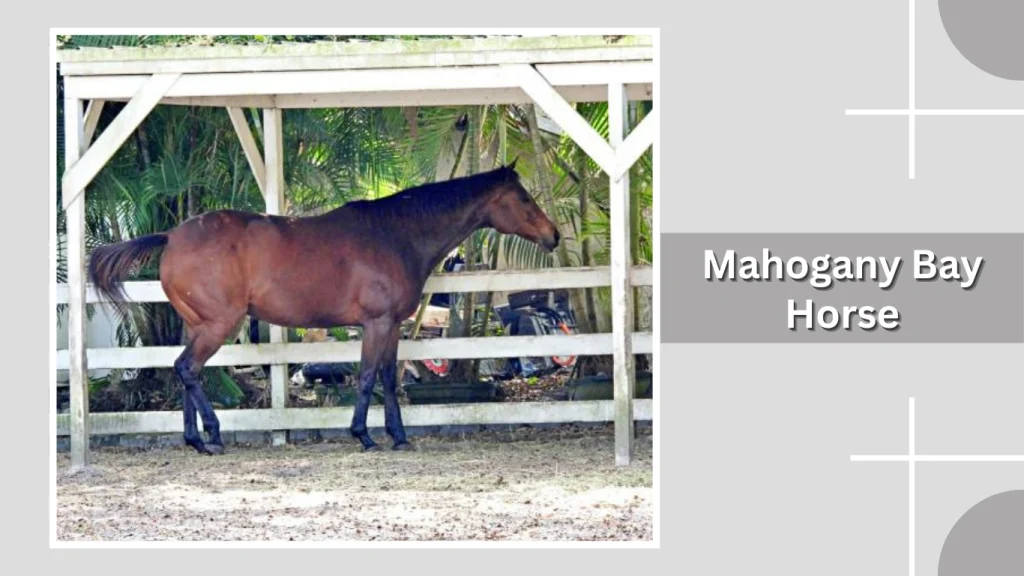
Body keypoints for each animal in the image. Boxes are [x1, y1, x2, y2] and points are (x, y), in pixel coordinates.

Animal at [87, 160, 561, 455]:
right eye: (523, 198)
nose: (554, 235)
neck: (395, 234)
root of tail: (171, 234)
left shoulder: (392, 326)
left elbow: (388, 379)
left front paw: (399, 436)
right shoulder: (376, 323)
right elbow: (367, 376)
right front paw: (364, 436)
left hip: (196, 324)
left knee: (186, 372)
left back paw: (196, 440)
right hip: (220, 324)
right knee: (188, 368)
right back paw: (215, 436)